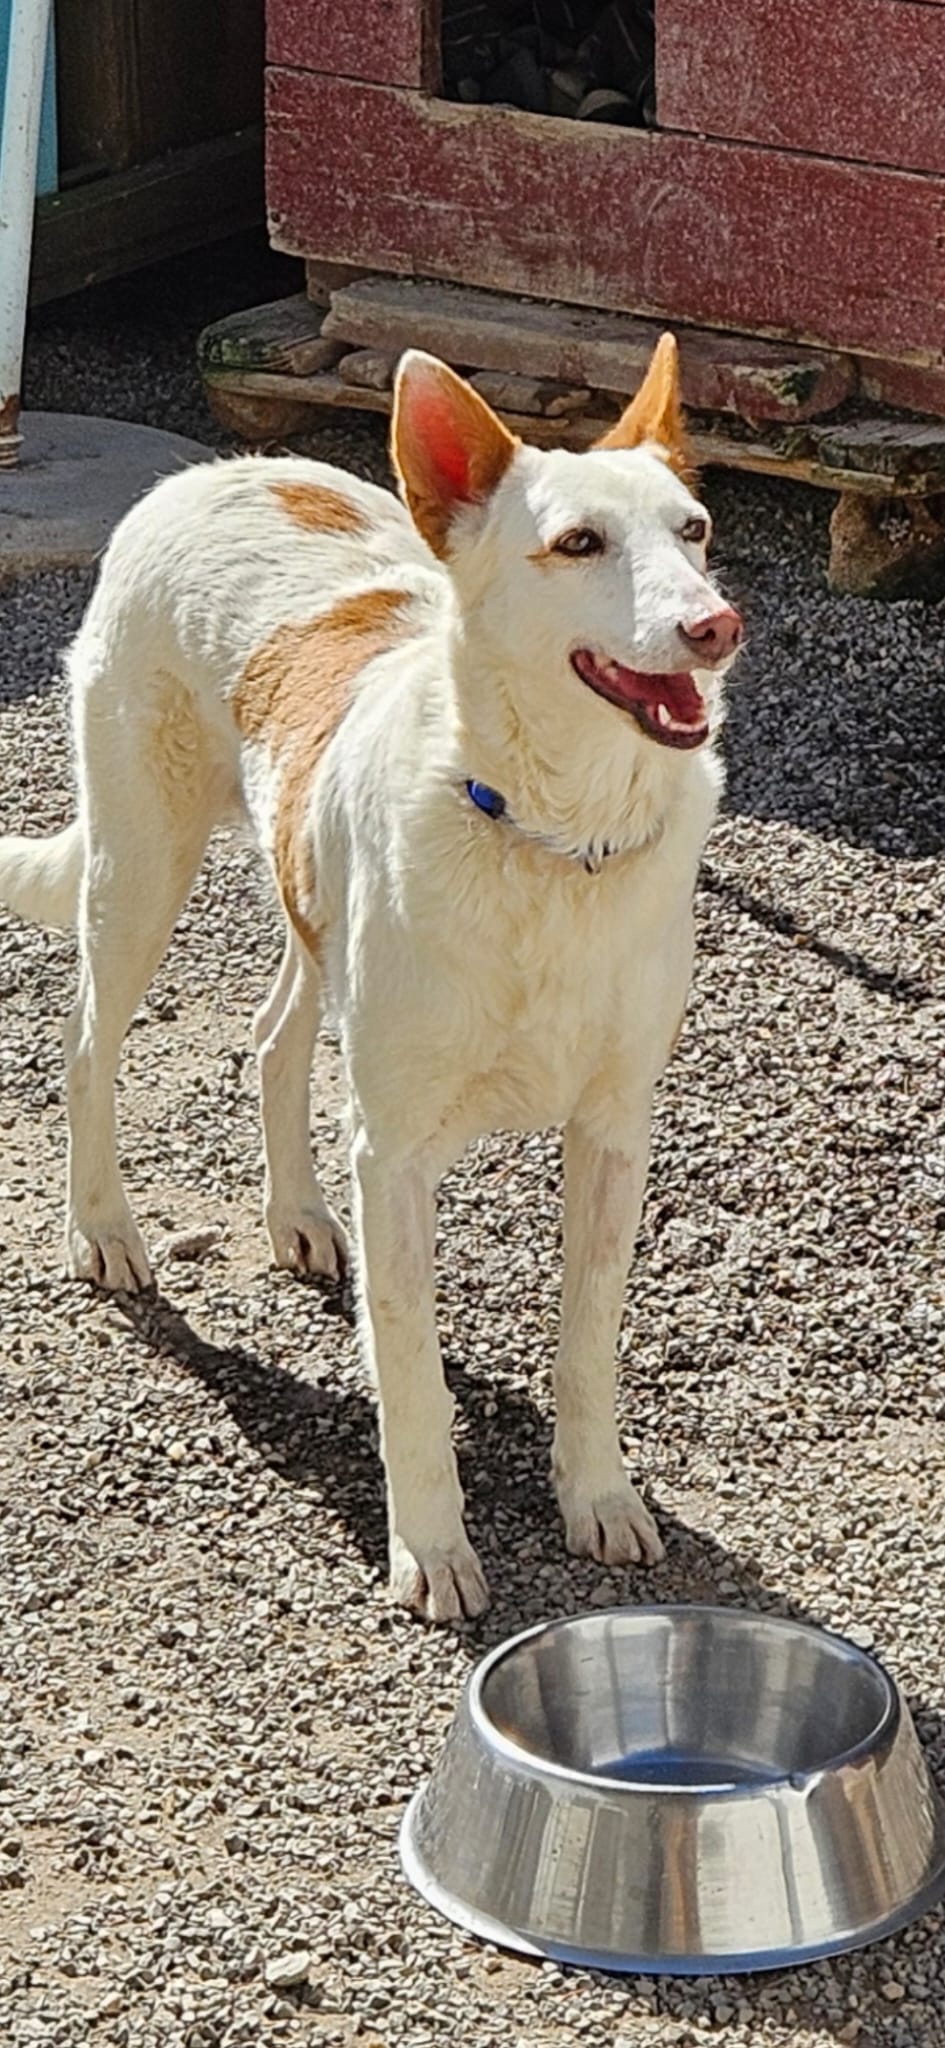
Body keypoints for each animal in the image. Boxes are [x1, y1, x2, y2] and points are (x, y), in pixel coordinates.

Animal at [0, 334, 741, 1620]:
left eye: (692, 529)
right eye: (578, 543)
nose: (717, 626)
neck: (556, 842)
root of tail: (212, 472)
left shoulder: (613, 1134)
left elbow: (589, 1336)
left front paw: (598, 1496)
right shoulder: (394, 1152)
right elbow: (407, 1364)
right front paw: (431, 1546)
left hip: (311, 898)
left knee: (271, 1031)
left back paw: (295, 1213)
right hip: (140, 868)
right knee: (88, 1043)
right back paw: (103, 1230)